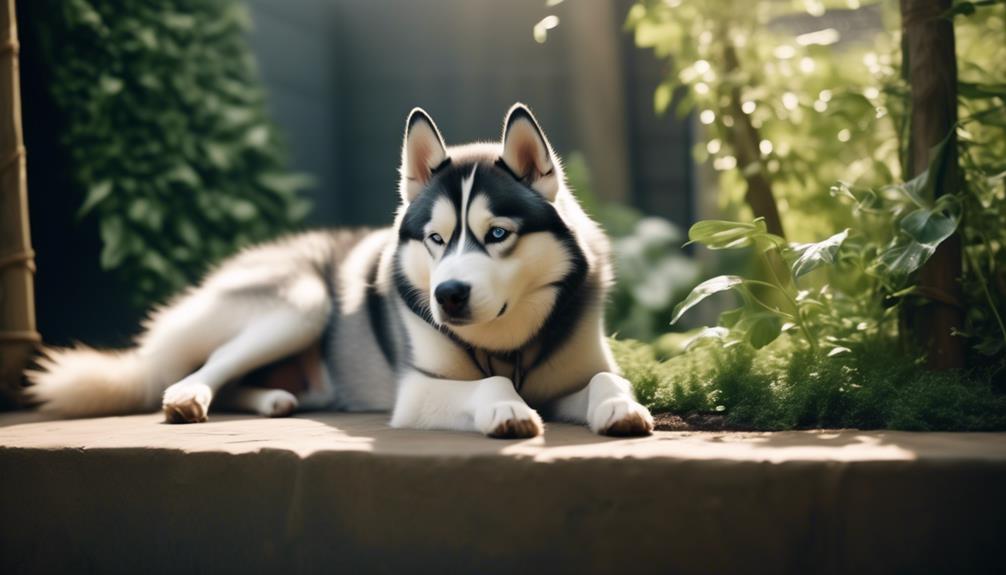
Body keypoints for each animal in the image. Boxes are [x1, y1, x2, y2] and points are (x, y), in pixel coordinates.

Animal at [27, 104, 655, 436]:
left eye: (497, 234)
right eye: (436, 239)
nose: (448, 295)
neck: (507, 342)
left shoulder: (573, 374)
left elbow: (605, 379)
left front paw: (620, 404)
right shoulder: (416, 392)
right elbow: (492, 383)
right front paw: (505, 404)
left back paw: (272, 400)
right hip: (302, 304)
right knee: (198, 370)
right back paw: (190, 397)